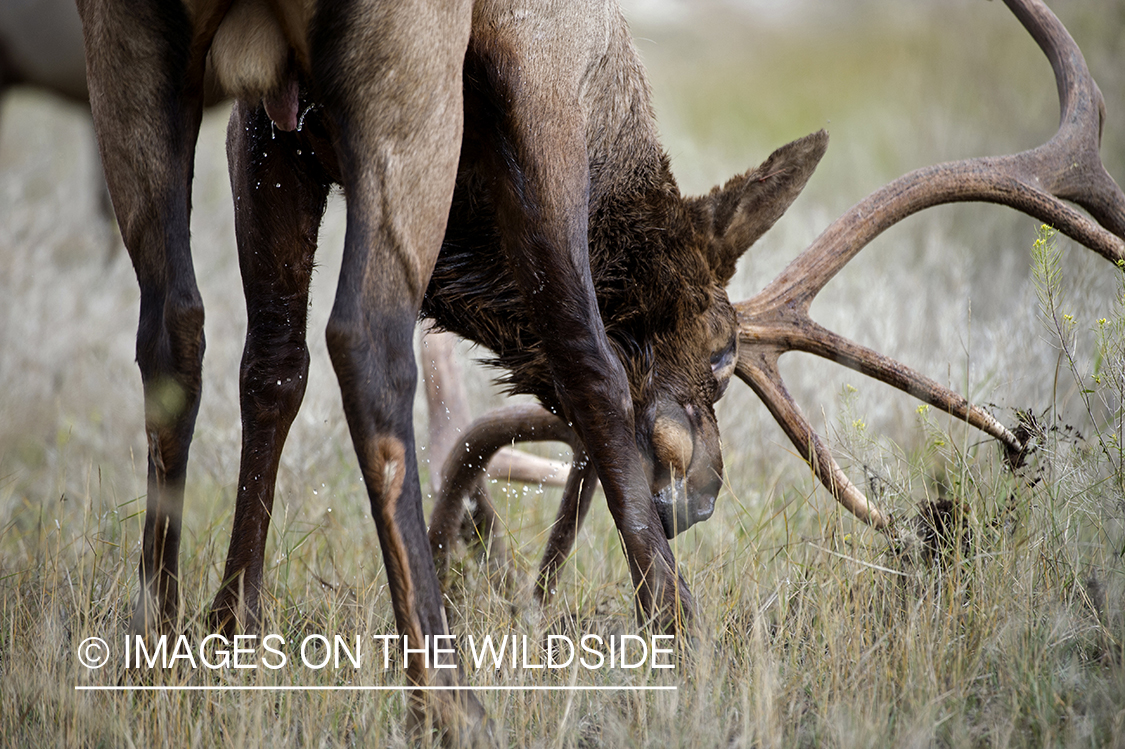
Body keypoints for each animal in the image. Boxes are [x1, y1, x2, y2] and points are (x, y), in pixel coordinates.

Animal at [76, 0, 1124, 742]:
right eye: (720, 352)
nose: (702, 493)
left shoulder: (268, 125)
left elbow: (268, 367)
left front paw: (227, 638)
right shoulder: (541, 86)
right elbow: (590, 366)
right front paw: (682, 641)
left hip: (138, 41)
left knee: (174, 327)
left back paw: (151, 652)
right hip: (405, 58)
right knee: (368, 340)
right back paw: (448, 705)